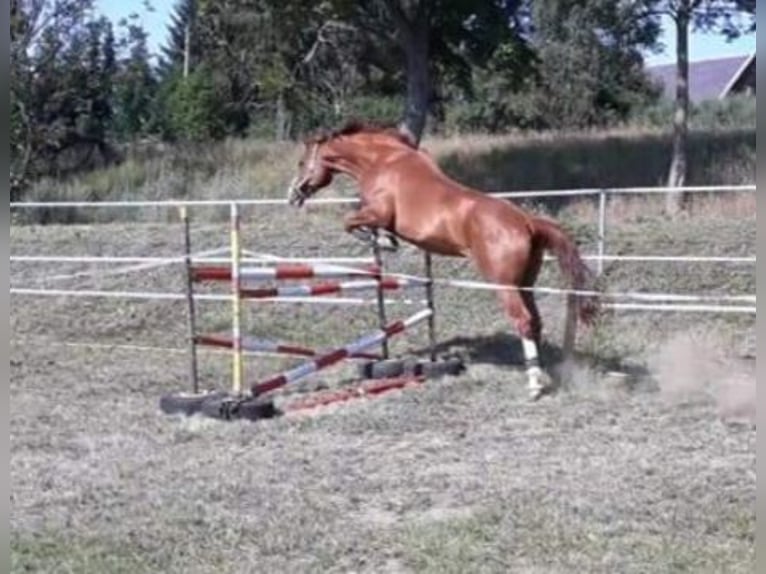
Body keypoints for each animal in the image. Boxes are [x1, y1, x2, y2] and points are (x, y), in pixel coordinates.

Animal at [286, 120, 598, 400]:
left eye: (301, 162)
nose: (293, 196)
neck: (383, 161)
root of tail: (527, 222)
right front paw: (385, 241)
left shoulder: (378, 213)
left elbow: (350, 222)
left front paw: (382, 242)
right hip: (525, 284)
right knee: (535, 322)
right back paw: (544, 374)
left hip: (504, 286)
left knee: (522, 321)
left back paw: (533, 385)